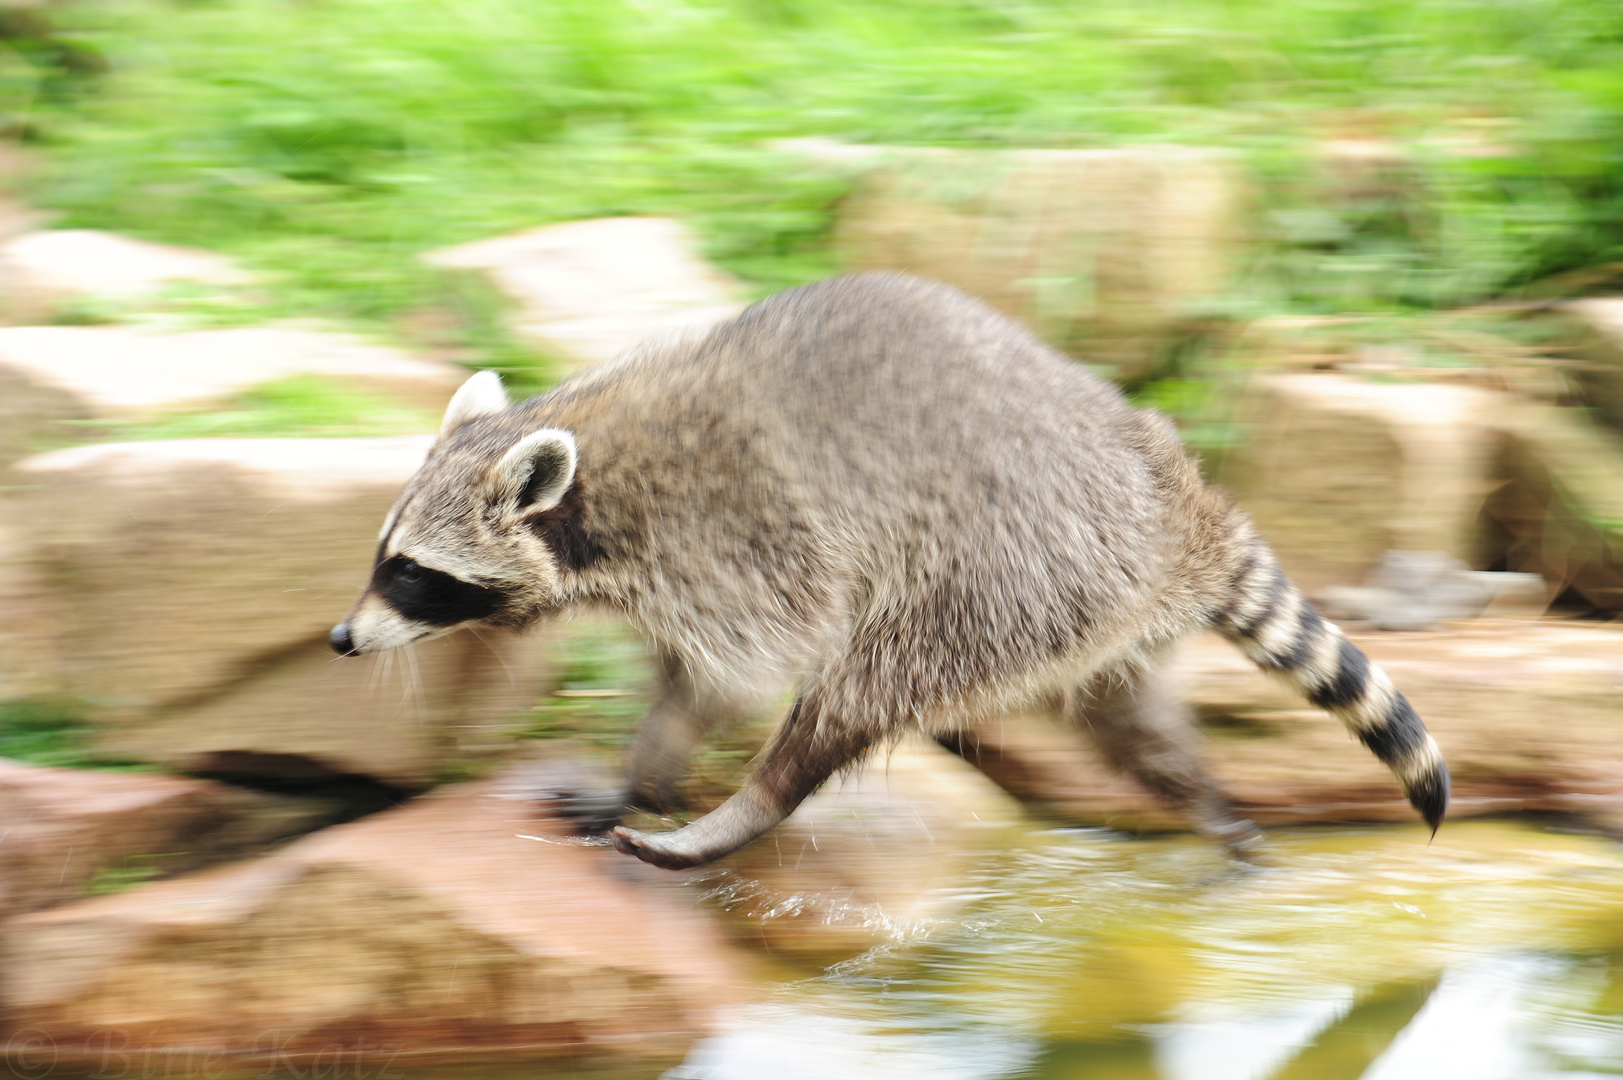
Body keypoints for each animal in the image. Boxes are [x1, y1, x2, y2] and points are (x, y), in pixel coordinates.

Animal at [329, 271, 1447, 870]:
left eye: (413, 574)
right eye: (382, 557)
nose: (342, 638)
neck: (598, 480)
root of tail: (1176, 501)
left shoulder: (734, 537)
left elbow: (729, 675)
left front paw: (643, 778)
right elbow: (683, 670)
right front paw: (641, 769)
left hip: (1004, 566)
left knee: (860, 685)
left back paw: (753, 804)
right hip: (1089, 605)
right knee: (1125, 723)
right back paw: (1201, 797)